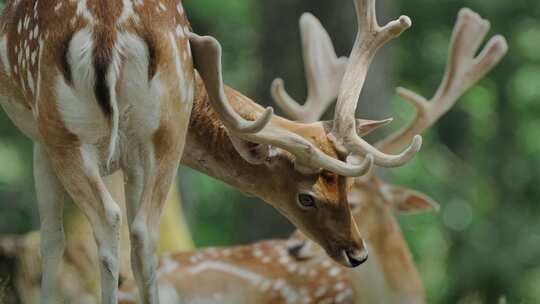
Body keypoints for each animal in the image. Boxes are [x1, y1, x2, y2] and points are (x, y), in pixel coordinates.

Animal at [0, 0, 430, 302]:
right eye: (307, 197)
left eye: (345, 185)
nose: (357, 253)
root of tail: (108, 32)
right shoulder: (104, 148)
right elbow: (54, 239)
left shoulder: (50, 137)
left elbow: (52, 239)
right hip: (146, 130)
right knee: (137, 230)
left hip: (72, 127)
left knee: (119, 225)